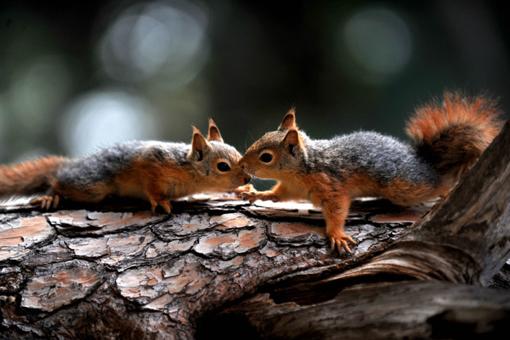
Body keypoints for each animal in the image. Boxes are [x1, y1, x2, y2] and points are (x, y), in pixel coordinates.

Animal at [0, 118, 251, 211]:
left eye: (240, 156)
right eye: (223, 166)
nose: (248, 177)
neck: (189, 170)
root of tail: (74, 163)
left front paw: (243, 190)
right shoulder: (152, 161)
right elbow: (150, 185)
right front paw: (159, 200)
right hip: (91, 185)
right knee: (58, 182)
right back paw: (51, 196)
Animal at [241, 93, 504, 252]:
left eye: (266, 157)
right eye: (260, 138)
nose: (242, 166)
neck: (301, 168)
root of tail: (425, 163)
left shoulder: (330, 185)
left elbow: (337, 210)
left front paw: (336, 235)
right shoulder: (291, 188)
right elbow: (277, 195)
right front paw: (256, 195)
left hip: (405, 186)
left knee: (436, 184)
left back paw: (446, 189)